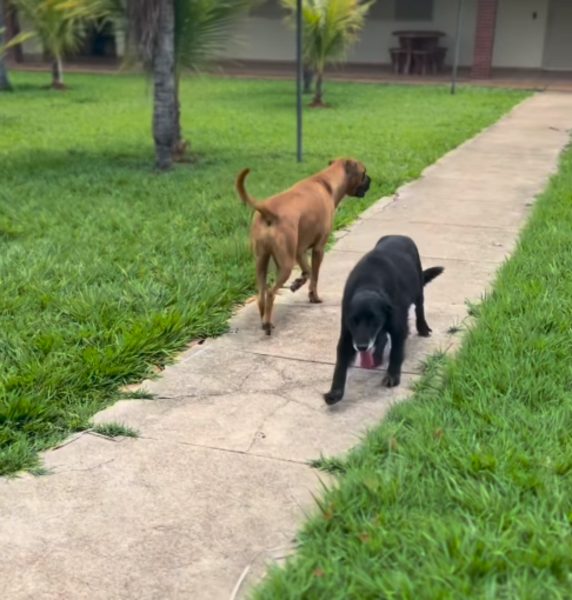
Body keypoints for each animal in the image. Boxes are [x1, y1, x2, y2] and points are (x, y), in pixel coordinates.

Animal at [236, 159, 370, 336]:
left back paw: (265, 319)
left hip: (261, 261)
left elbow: (307, 271)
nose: (370, 179)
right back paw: (267, 324)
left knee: (261, 295)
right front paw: (314, 296)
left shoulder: (299, 250)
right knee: (271, 293)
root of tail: (268, 210)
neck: (326, 182)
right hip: (285, 265)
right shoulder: (318, 249)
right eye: (363, 172)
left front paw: (298, 282)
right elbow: (315, 275)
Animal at [324, 233, 444, 404]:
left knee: (419, 308)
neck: (368, 285)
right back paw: (377, 356)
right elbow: (340, 364)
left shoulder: (398, 327)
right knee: (382, 337)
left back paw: (423, 328)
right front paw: (335, 392)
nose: (362, 347)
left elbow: (396, 352)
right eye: (354, 321)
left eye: (374, 320)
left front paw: (392, 376)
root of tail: (399, 235)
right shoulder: (347, 335)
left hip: (418, 289)